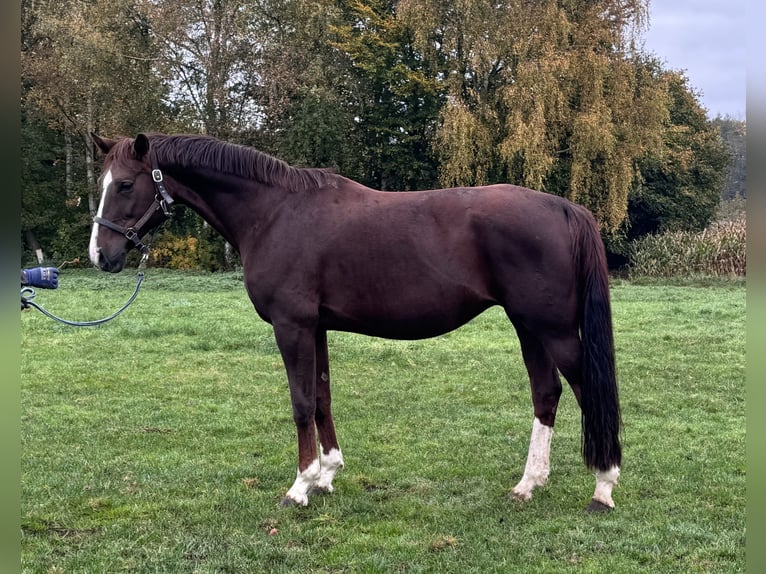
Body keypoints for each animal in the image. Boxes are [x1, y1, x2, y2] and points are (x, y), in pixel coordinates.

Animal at [88, 134, 624, 512]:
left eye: (126, 184)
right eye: (103, 184)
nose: (101, 255)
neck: (274, 212)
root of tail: (564, 207)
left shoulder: (292, 325)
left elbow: (301, 403)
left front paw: (299, 486)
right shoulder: (316, 327)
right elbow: (322, 396)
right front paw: (328, 474)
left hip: (552, 329)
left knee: (586, 390)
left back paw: (603, 487)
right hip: (529, 326)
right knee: (546, 394)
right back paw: (527, 484)